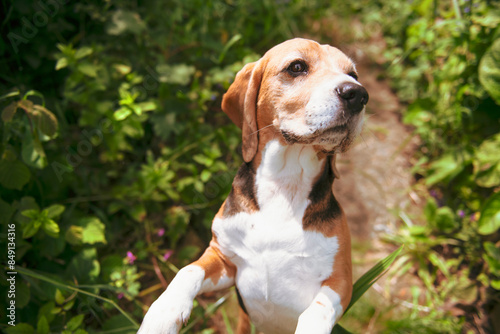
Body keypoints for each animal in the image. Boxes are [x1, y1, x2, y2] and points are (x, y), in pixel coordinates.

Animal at [139, 37, 370, 334]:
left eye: (353, 75)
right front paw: (163, 313)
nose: (358, 95)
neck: (284, 186)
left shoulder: (340, 281)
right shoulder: (223, 260)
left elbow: (317, 312)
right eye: (297, 67)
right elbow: (187, 271)